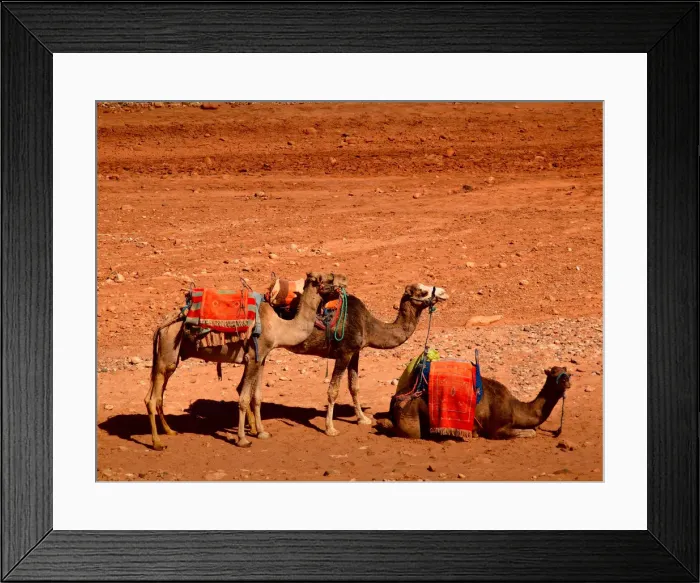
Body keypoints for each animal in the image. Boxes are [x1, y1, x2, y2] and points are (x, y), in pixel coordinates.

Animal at [145, 272, 342, 450]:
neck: (280, 327)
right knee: (152, 399)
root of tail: (160, 326)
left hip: (165, 359)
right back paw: (157, 443)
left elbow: (257, 397)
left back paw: (170, 431)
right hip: (168, 353)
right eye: (328, 279)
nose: (341, 289)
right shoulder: (252, 358)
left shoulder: (261, 358)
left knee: (155, 396)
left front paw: (262, 432)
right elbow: (244, 398)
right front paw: (243, 439)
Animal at [376, 365, 571, 440]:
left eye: (567, 372)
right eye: (554, 373)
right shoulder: (498, 429)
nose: (566, 381)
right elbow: (529, 432)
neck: (515, 407)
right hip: (411, 418)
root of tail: (396, 398)